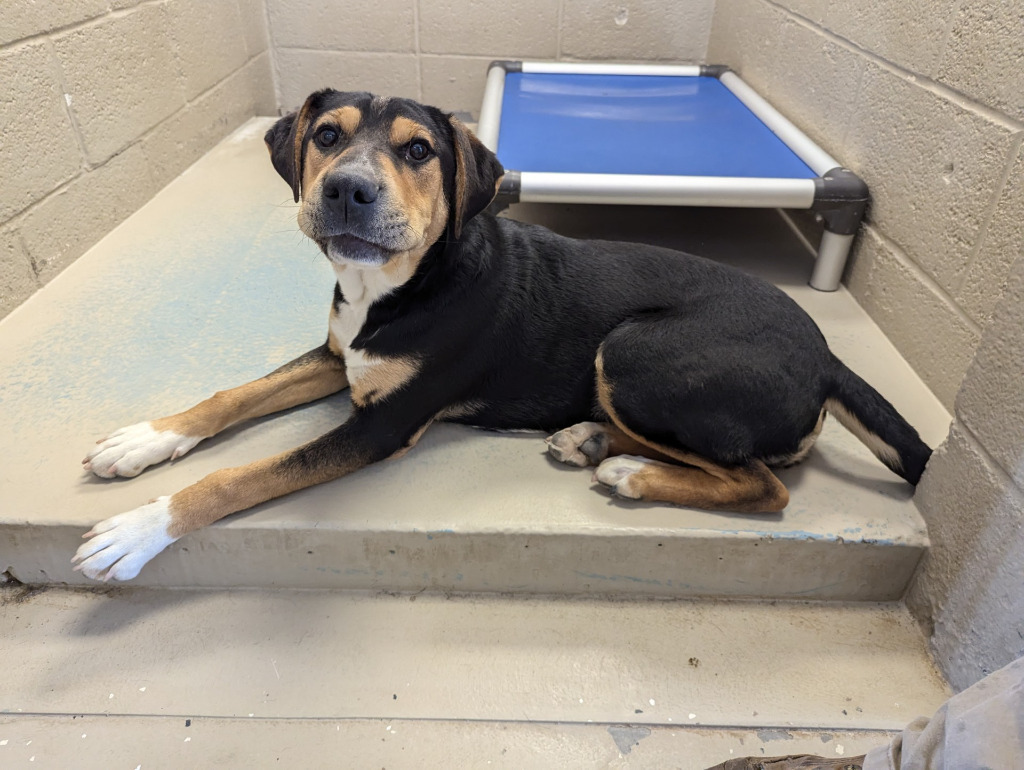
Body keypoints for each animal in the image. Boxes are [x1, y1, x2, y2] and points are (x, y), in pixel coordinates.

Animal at [75, 88, 933, 581]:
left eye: (418, 150)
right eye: (326, 135)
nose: (347, 190)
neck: (400, 287)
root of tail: (828, 356)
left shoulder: (381, 427)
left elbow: (240, 477)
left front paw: (140, 528)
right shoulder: (336, 355)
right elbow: (231, 397)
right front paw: (142, 441)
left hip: (633, 351)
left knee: (765, 484)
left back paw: (629, 471)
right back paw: (592, 439)